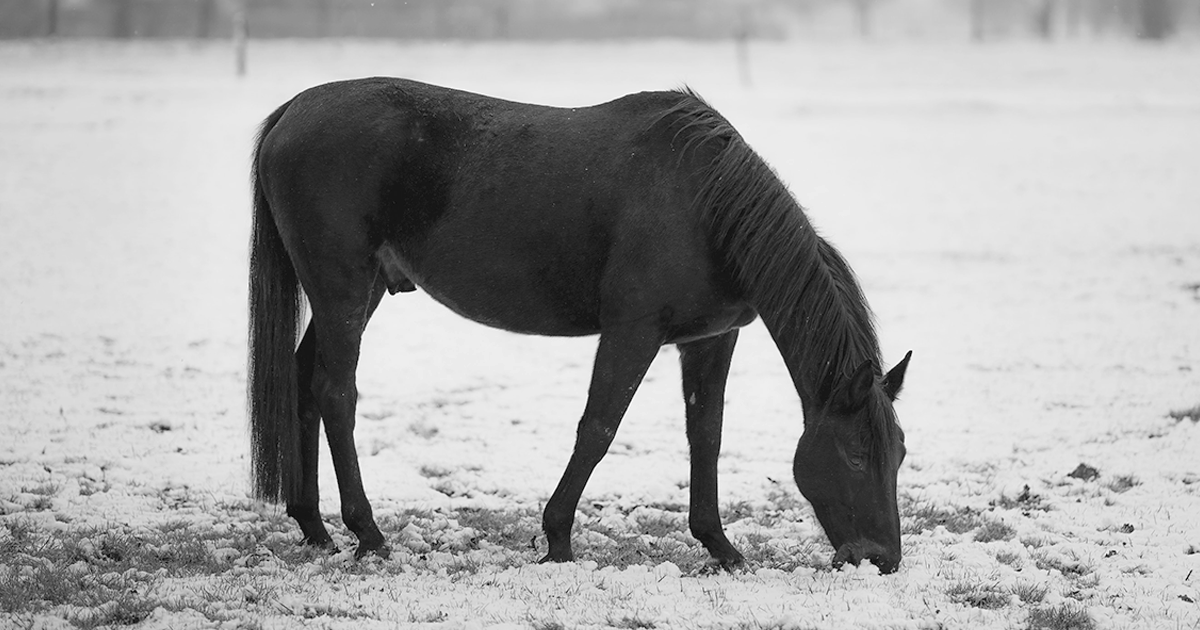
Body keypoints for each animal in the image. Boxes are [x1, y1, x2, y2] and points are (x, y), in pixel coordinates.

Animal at [248, 77, 912, 573]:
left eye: (900, 452)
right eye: (856, 454)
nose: (881, 560)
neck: (703, 206)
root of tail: (292, 112)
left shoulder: (710, 340)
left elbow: (706, 436)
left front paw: (720, 546)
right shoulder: (632, 331)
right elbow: (597, 429)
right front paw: (558, 539)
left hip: (354, 295)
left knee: (304, 382)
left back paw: (314, 527)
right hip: (342, 290)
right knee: (336, 394)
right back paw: (368, 533)